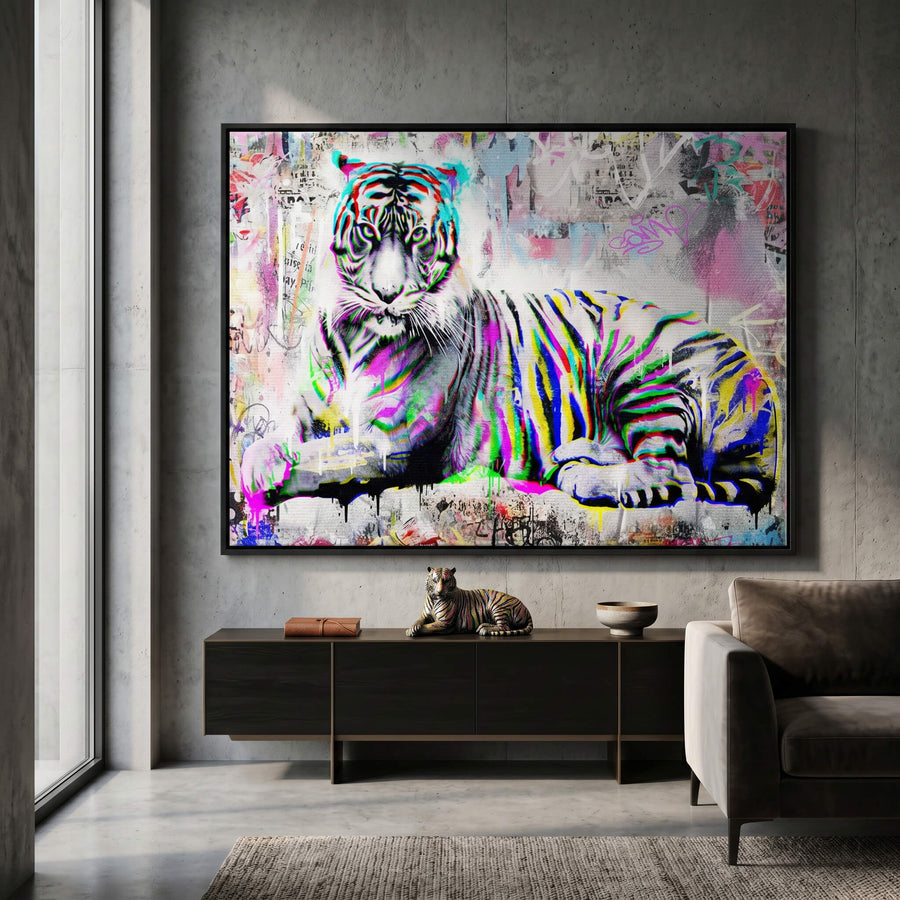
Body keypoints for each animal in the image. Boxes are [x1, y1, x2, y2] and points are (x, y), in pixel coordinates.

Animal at [239, 154, 779, 516]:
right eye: (368, 234)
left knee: (671, 471)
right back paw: (574, 456)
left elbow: (323, 455)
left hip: (640, 371)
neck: (357, 335)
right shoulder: (308, 412)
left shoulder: (391, 441)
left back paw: (583, 477)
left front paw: (265, 474)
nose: (388, 295)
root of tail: (763, 383)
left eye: (417, 237)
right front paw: (259, 460)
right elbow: (283, 435)